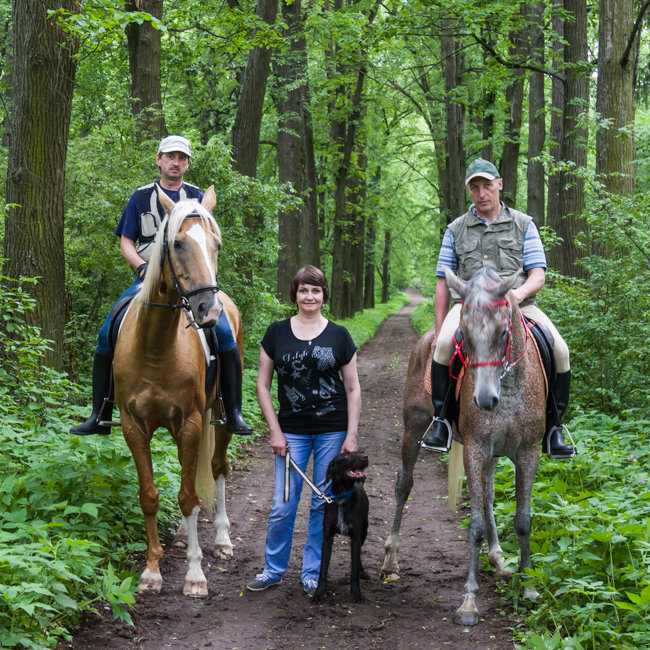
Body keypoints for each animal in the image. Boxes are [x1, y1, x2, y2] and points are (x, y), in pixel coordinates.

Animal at [113, 185, 238, 596]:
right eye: (179, 243)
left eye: (217, 245)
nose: (209, 311)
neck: (155, 346)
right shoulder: (133, 427)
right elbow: (150, 496)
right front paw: (152, 571)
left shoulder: (192, 424)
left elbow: (188, 496)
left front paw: (195, 575)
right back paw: (185, 535)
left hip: (219, 417)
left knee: (216, 468)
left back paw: (221, 540)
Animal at [312, 448, 368, 600]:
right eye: (346, 455)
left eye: (358, 452)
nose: (365, 457)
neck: (342, 498)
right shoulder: (327, 538)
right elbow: (323, 569)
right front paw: (319, 592)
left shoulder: (355, 538)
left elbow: (354, 568)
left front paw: (356, 593)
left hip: (364, 531)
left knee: (359, 555)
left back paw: (362, 571)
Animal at [380, 268, 548, 624]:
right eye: (464, 336)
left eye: (503, 332)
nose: (484, 399)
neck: (507, 390)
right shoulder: (474, 448)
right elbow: (475, 525)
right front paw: (469, 601)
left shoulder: (528, 453)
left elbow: (522, 520)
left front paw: (528, 587)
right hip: (413, 428)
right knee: (403, 484)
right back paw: (391, 561)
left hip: (493, 455)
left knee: (488, 496)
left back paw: (499, 559)